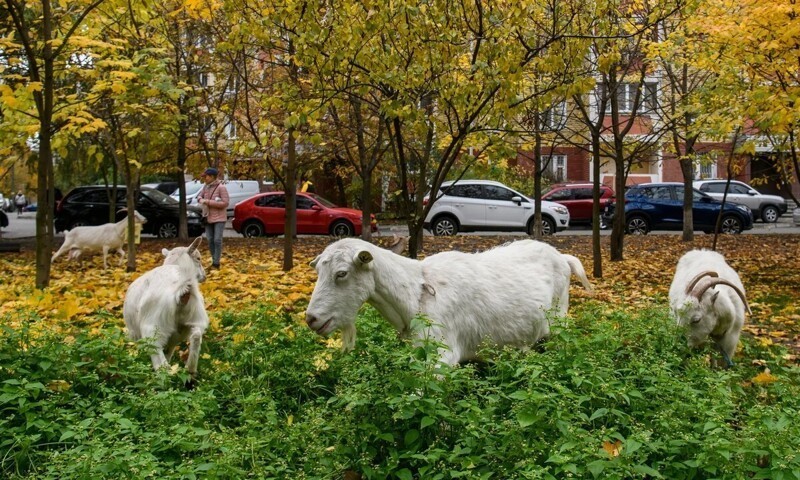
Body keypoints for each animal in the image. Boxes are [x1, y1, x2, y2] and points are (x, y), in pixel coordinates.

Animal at [122, 236, 208, 378]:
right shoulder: (175, 335)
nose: (204, 276)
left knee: (160, 362)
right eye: (198, 258)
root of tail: (182, 290)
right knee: (196, 335)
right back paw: (190, 371)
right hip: (195, 315)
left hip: (153, 327)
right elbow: (170, 350)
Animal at [304, 238, 592, 366]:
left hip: (559, 323)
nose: (311, 319)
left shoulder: (442, 357)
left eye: (342, 273)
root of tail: (563, 258)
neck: (416, 292)